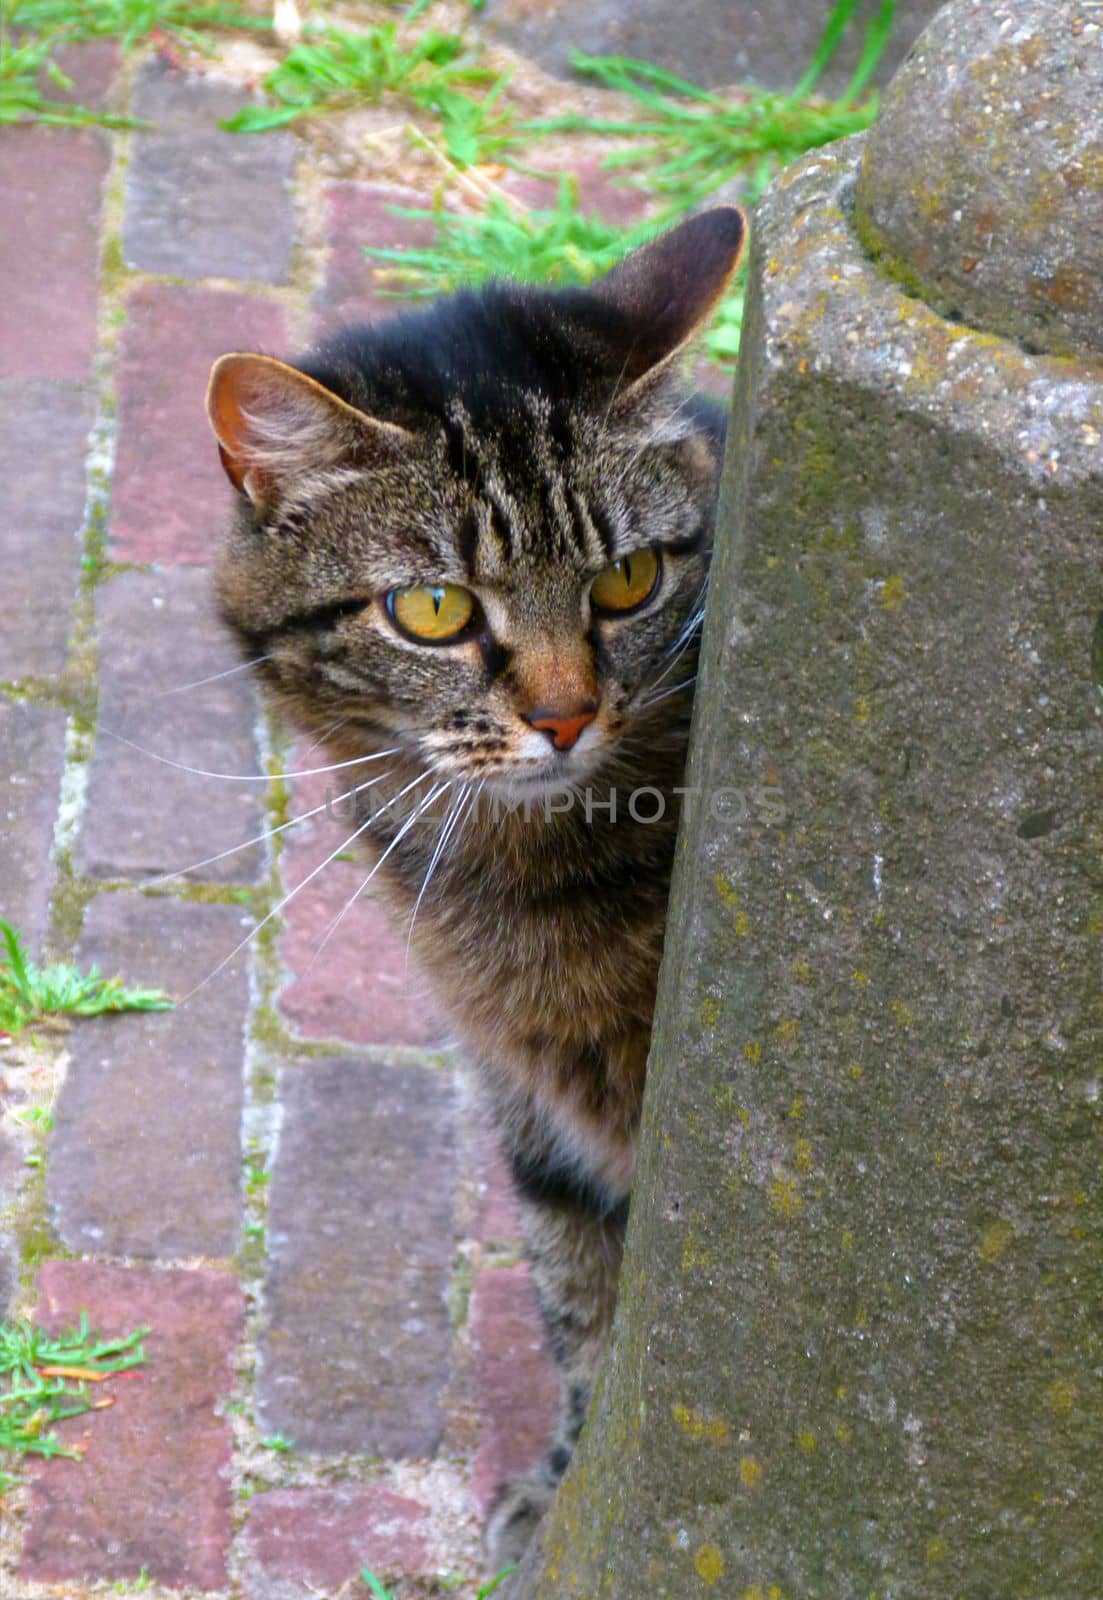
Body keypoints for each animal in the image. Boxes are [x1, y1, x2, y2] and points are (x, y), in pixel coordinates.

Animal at [206, 206, 742, 1568]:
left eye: (626, 580)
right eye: (435, 609)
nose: (562, 716)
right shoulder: (533, 1109)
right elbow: (581, 1301)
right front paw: (566, 1484)